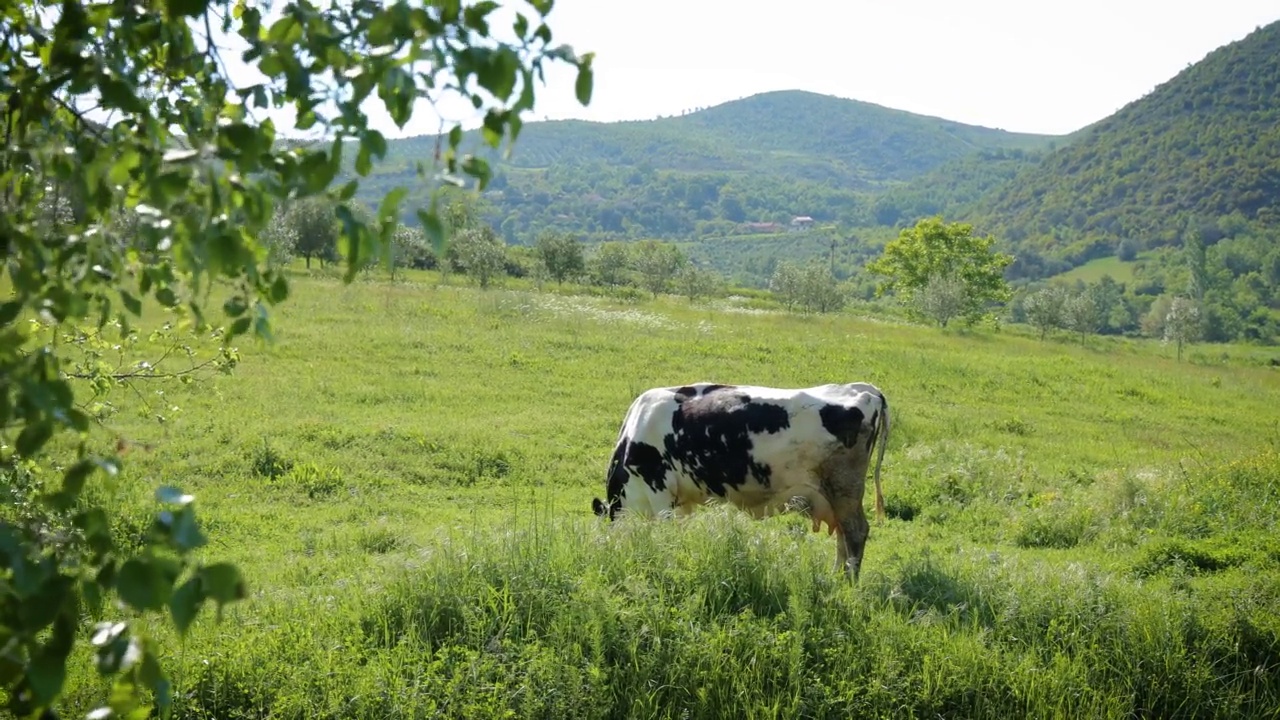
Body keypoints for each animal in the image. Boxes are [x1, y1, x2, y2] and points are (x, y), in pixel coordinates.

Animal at [591, 381, 885, 576]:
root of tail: (864, 389)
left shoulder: (659, 491)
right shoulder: (680, 502)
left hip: (844, 489)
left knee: (856, 532)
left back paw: (848, 583)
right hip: (836, 496)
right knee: (843, 536)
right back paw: (835, 577)